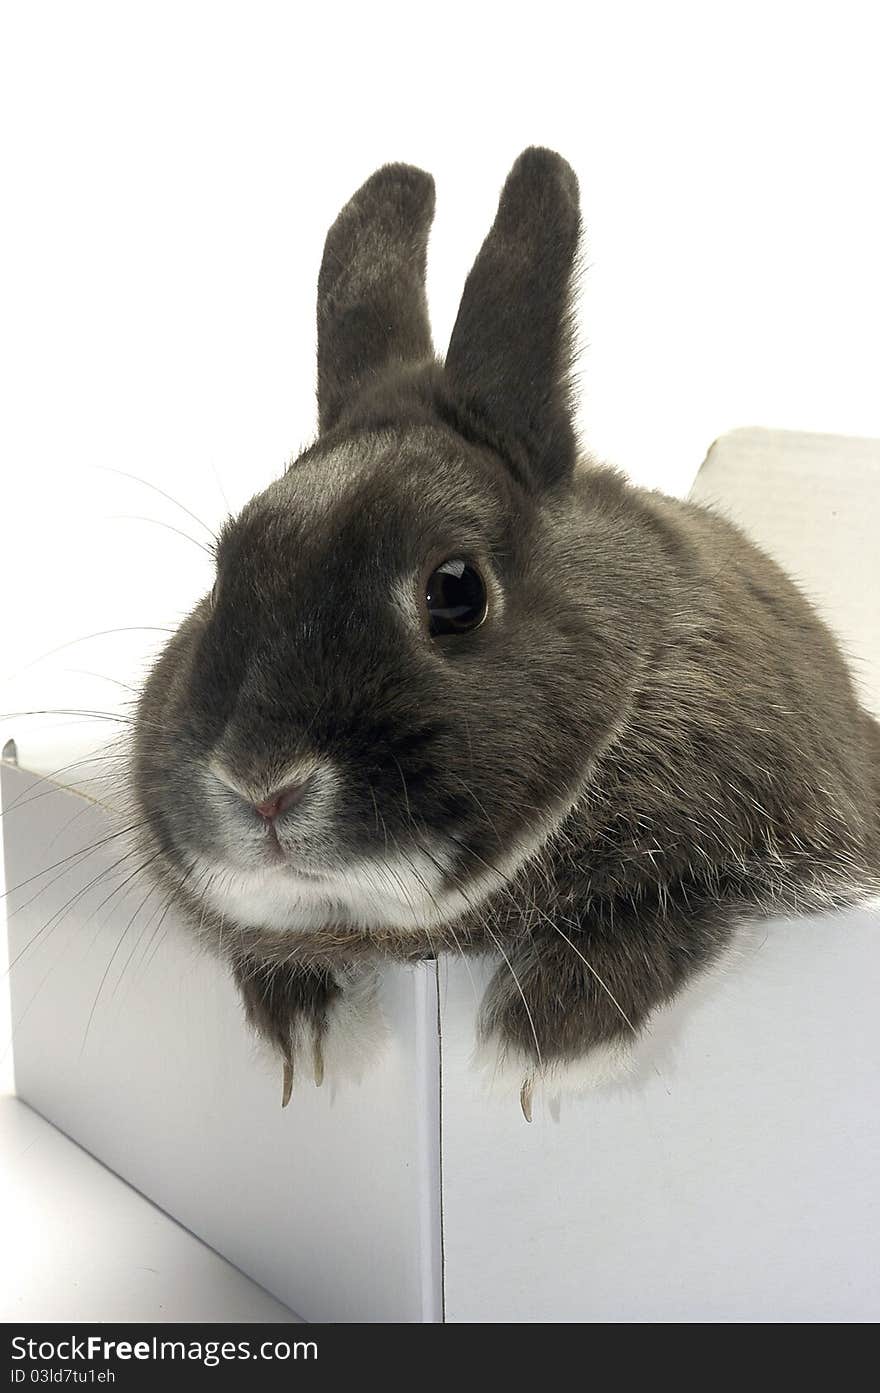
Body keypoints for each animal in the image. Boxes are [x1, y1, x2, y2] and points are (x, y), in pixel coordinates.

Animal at [132, 146, 880, 1114]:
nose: (261, 786)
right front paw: (307, 1036)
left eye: (455, 591)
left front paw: (537, 1052)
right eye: (224, 570)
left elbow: (670, 904)